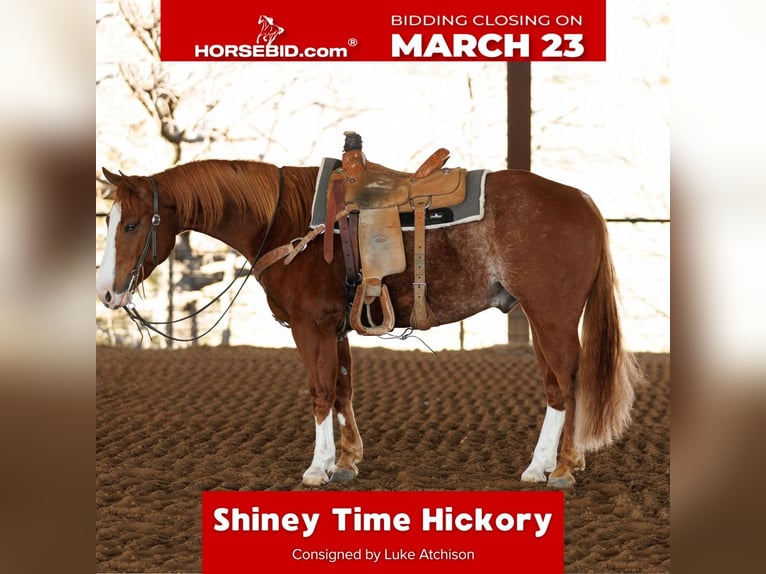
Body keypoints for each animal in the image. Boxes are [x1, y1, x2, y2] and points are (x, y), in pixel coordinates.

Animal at [96, 157, 642, 488]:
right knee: (558, 384)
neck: (290, 224)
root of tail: (581, 200)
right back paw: (552, 462)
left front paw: (317, 468)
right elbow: (341, 389)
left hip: (551, 316)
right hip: (539, 317)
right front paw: (346, 461)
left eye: (131, 224)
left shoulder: (311, 326)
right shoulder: (335, 328)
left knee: (565, 382)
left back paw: (558, 467)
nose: (107, 293)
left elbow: (319, 391)